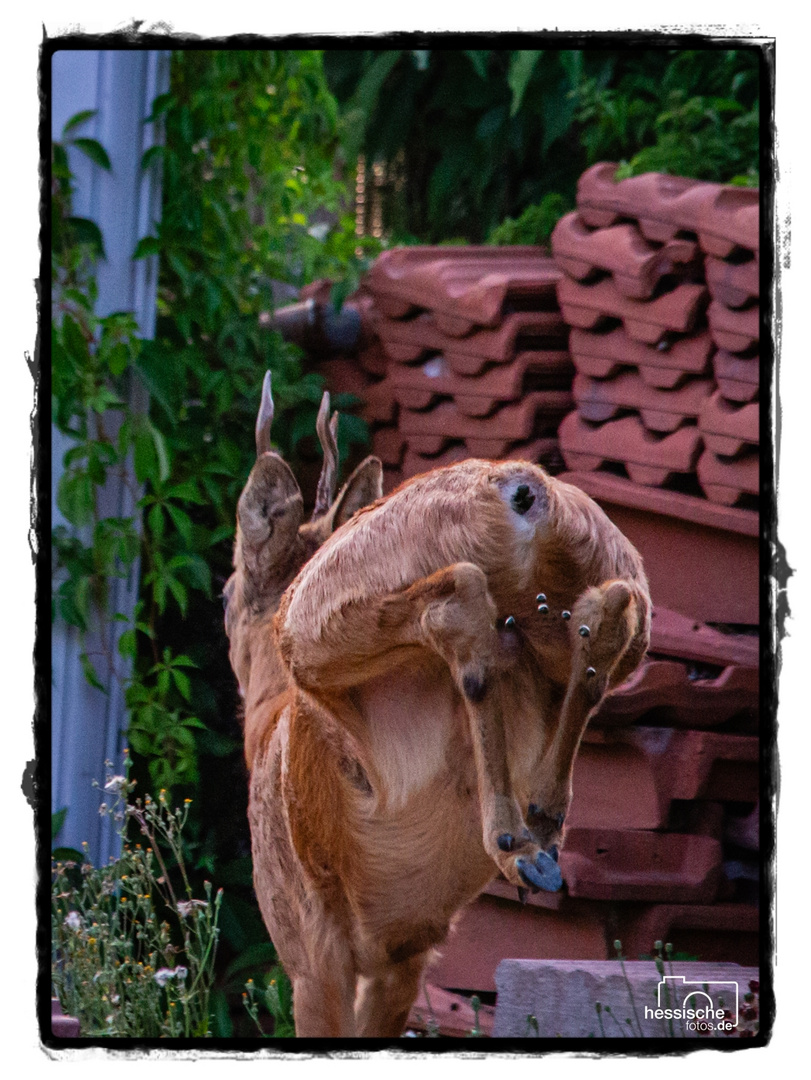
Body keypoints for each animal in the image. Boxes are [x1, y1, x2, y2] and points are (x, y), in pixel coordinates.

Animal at [226, 371, 652, 1036]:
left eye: (226, 596)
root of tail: (523, 491)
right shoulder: (407, 955)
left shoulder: (308, 946)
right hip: (619, 572)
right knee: (605, 615)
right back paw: (542, 826)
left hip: (317, 614)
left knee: (461, 606)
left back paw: (518, 844)